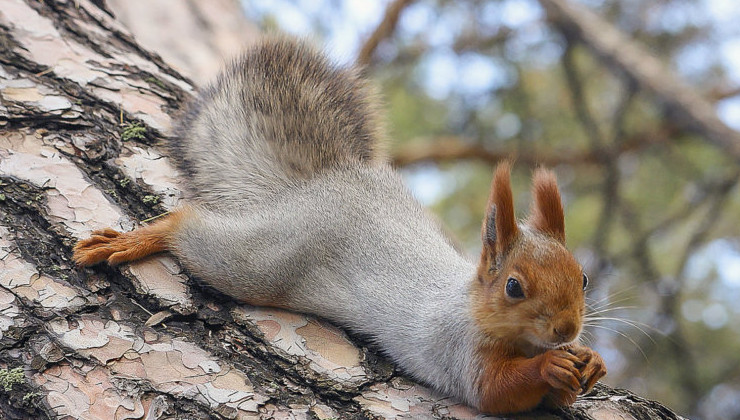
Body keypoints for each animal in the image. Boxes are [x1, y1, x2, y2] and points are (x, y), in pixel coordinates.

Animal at [73, 37, 608, 416]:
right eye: (514, 287)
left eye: (582, 278)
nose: (566, 329)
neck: (473, 303)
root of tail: (314, 186)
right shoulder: (461, 353)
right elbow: (498, 393)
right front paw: (551, 364)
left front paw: (590, 362)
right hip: (261, 262)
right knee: (191, 228)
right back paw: (139, 238)